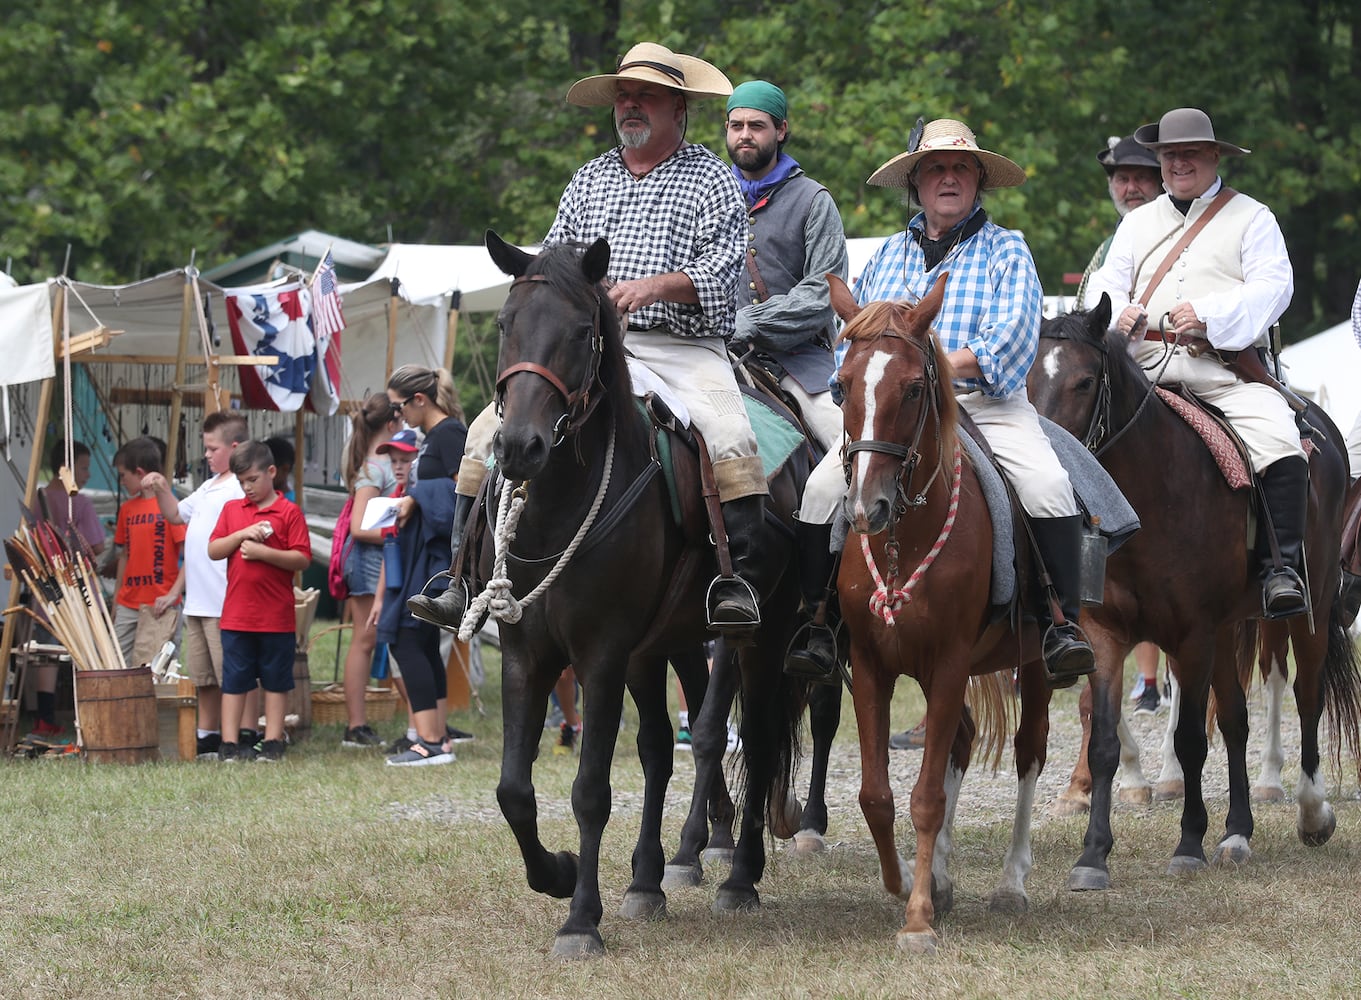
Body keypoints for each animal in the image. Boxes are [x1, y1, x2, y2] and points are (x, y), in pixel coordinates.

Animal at [484, 231, 811, 957]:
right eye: (505, 324)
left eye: (582, 332)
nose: (519, 446)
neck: (562, 508)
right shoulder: (528, 654)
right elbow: (514, 790)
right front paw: (558, 873)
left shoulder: (601, 654)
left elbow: (590, 790)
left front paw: (581, 919)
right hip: (663, 643)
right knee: (663, 747)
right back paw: (647, 879)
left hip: (760, 635)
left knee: (755, 736)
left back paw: (738, 876)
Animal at [822, 272, 1056, 952]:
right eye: (842, 384)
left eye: (912, 387)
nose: (866, 507)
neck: (905, 541)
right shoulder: (872, 665)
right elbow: (877, 795)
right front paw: (908, 883)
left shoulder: (951, 663)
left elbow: (925, 797)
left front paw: (918, 918)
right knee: (960, 744)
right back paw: (945, 878)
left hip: (1035, 661)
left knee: (1029, 750)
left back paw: (1010, 884)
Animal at [1028, 296, 1361, 892]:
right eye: (1025, 379)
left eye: (1085, 381)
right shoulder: (1108, 635)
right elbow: (1105, 738)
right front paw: (1093, 854)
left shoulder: (1192, 635)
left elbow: (1189, 738)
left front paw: (1188, 844)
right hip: (1230, 629)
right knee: (1235, 718)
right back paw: (1237, 832)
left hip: (1311, 609)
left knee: (1306, 697)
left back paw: (1311, 812)